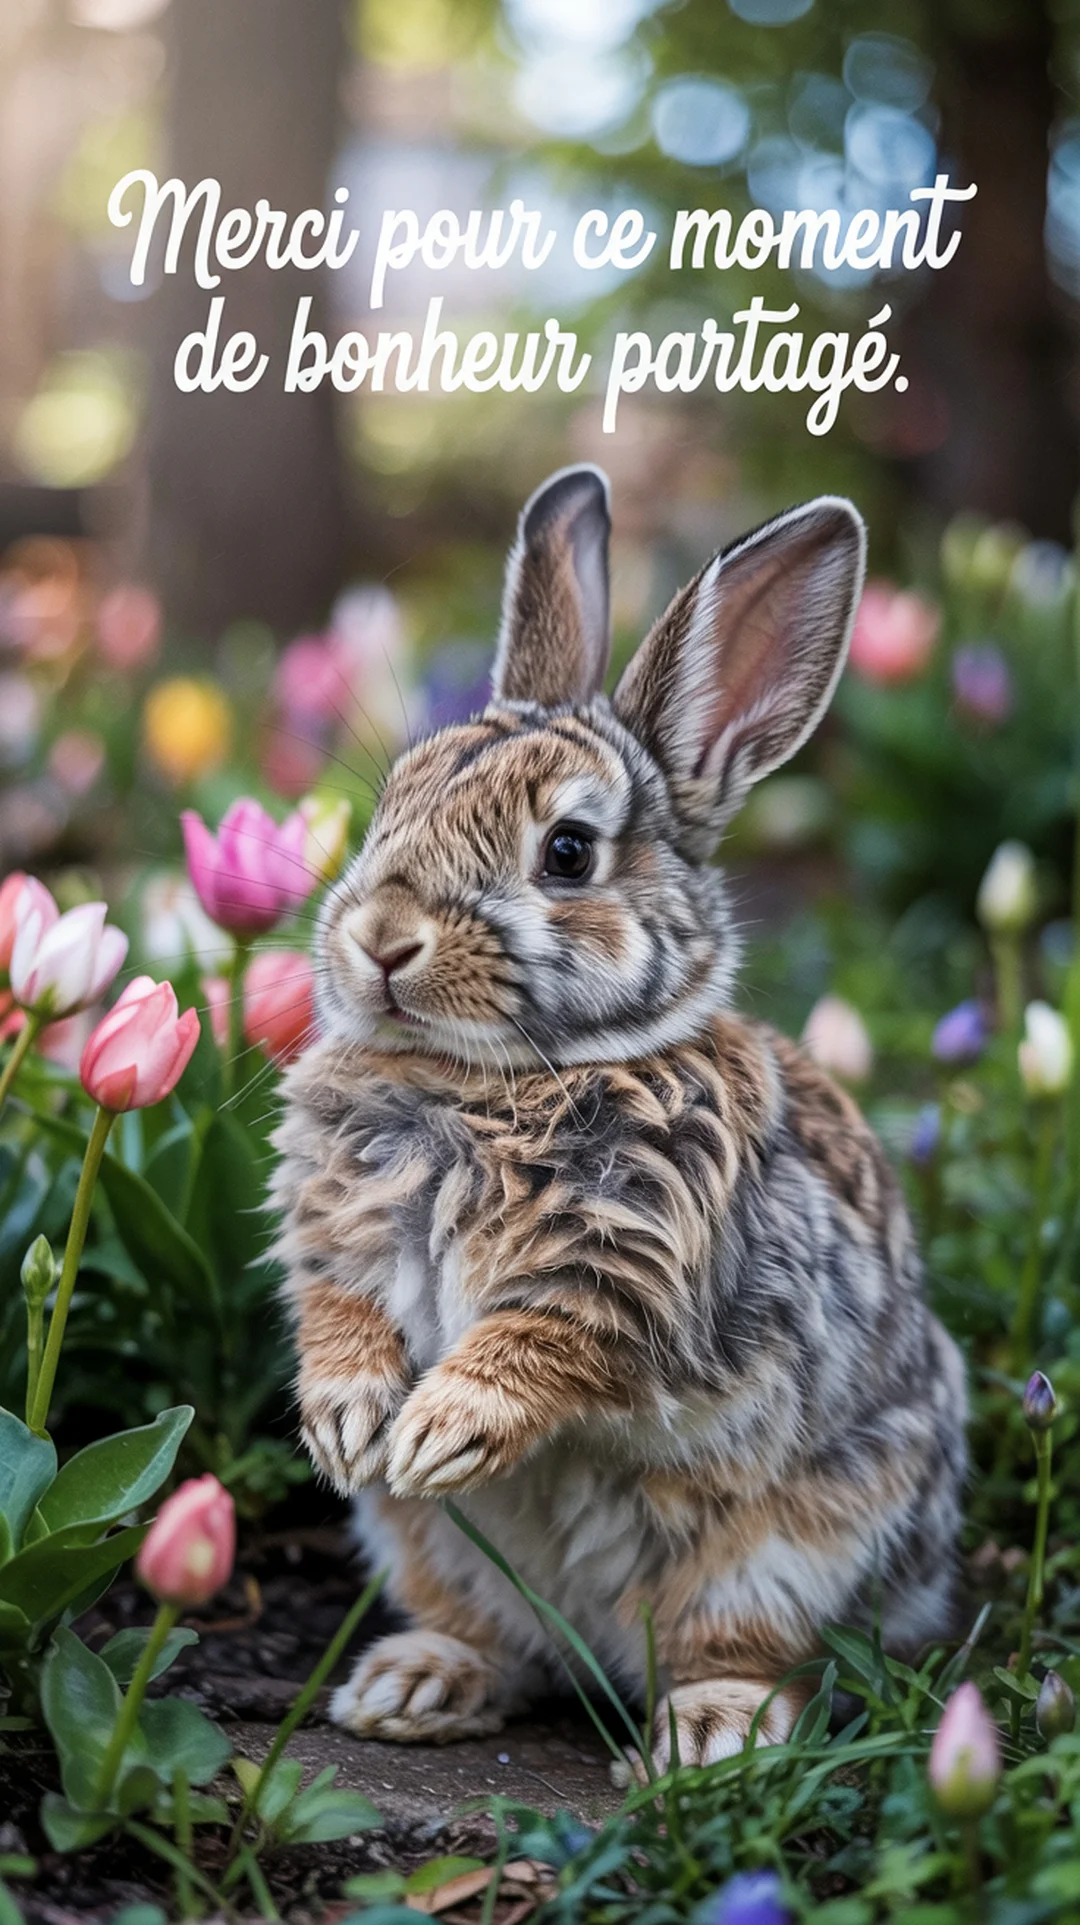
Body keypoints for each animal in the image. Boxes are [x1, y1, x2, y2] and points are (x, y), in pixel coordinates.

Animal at [271, 466, 967, 1769]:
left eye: (568, 852)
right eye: (389, 804)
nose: (381, 939)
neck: (483, 1079)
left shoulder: (631, 1268)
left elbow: (545, 1342)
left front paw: (439, 1430)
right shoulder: (337, 1242)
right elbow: (339, 1315)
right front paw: (347, 1425)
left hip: (795, 1542)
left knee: (745, 1647)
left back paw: (707, 1733)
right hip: (423, 1547)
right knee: (497, 1640)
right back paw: (415, 1685)